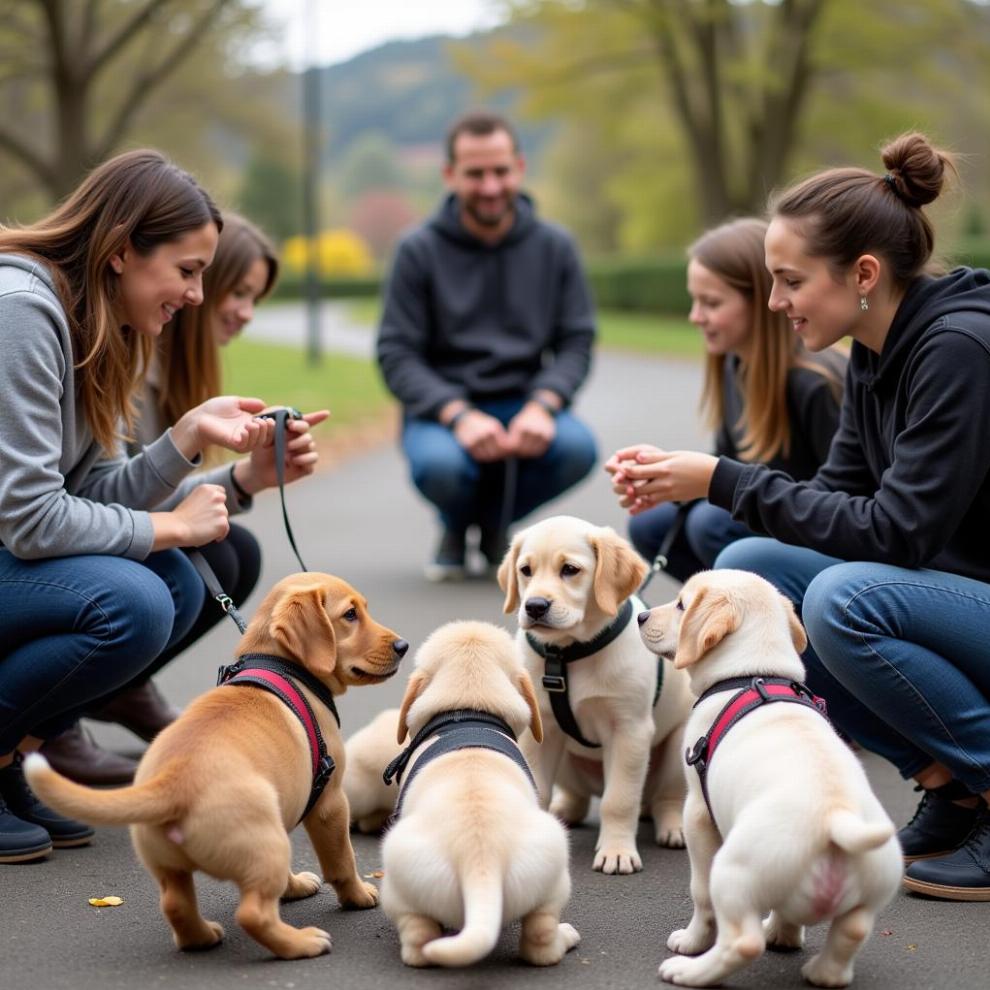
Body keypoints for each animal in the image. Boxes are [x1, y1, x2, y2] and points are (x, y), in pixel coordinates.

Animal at [380, 620, 580, 968]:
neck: (468, 709)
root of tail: (480, 858)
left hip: (395, 885)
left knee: (419, 941)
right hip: (553, 872)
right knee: (539, 938)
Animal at [496, 520, 696, 876]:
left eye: (570, 570)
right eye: (525, 570)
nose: (534, 606)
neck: (567, 654)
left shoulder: (629, 730)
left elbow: (619, 800)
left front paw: (617, 852)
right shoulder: (539, 732)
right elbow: (537, 788)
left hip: (676, 749)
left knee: (665, 797)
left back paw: (673, 827)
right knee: (577, 797)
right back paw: (563, 811)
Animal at [640, 568, 904, 988]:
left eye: (681, 605)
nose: (640, 617)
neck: (752, 673)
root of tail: (834, 818)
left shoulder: (697, 814)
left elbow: (699, 894)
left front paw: (692, 941)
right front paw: (784, 935)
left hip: (732, 872)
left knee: (741, 941)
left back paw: (691, 970)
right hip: (869, 892)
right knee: (852, 931)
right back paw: (823, 973)